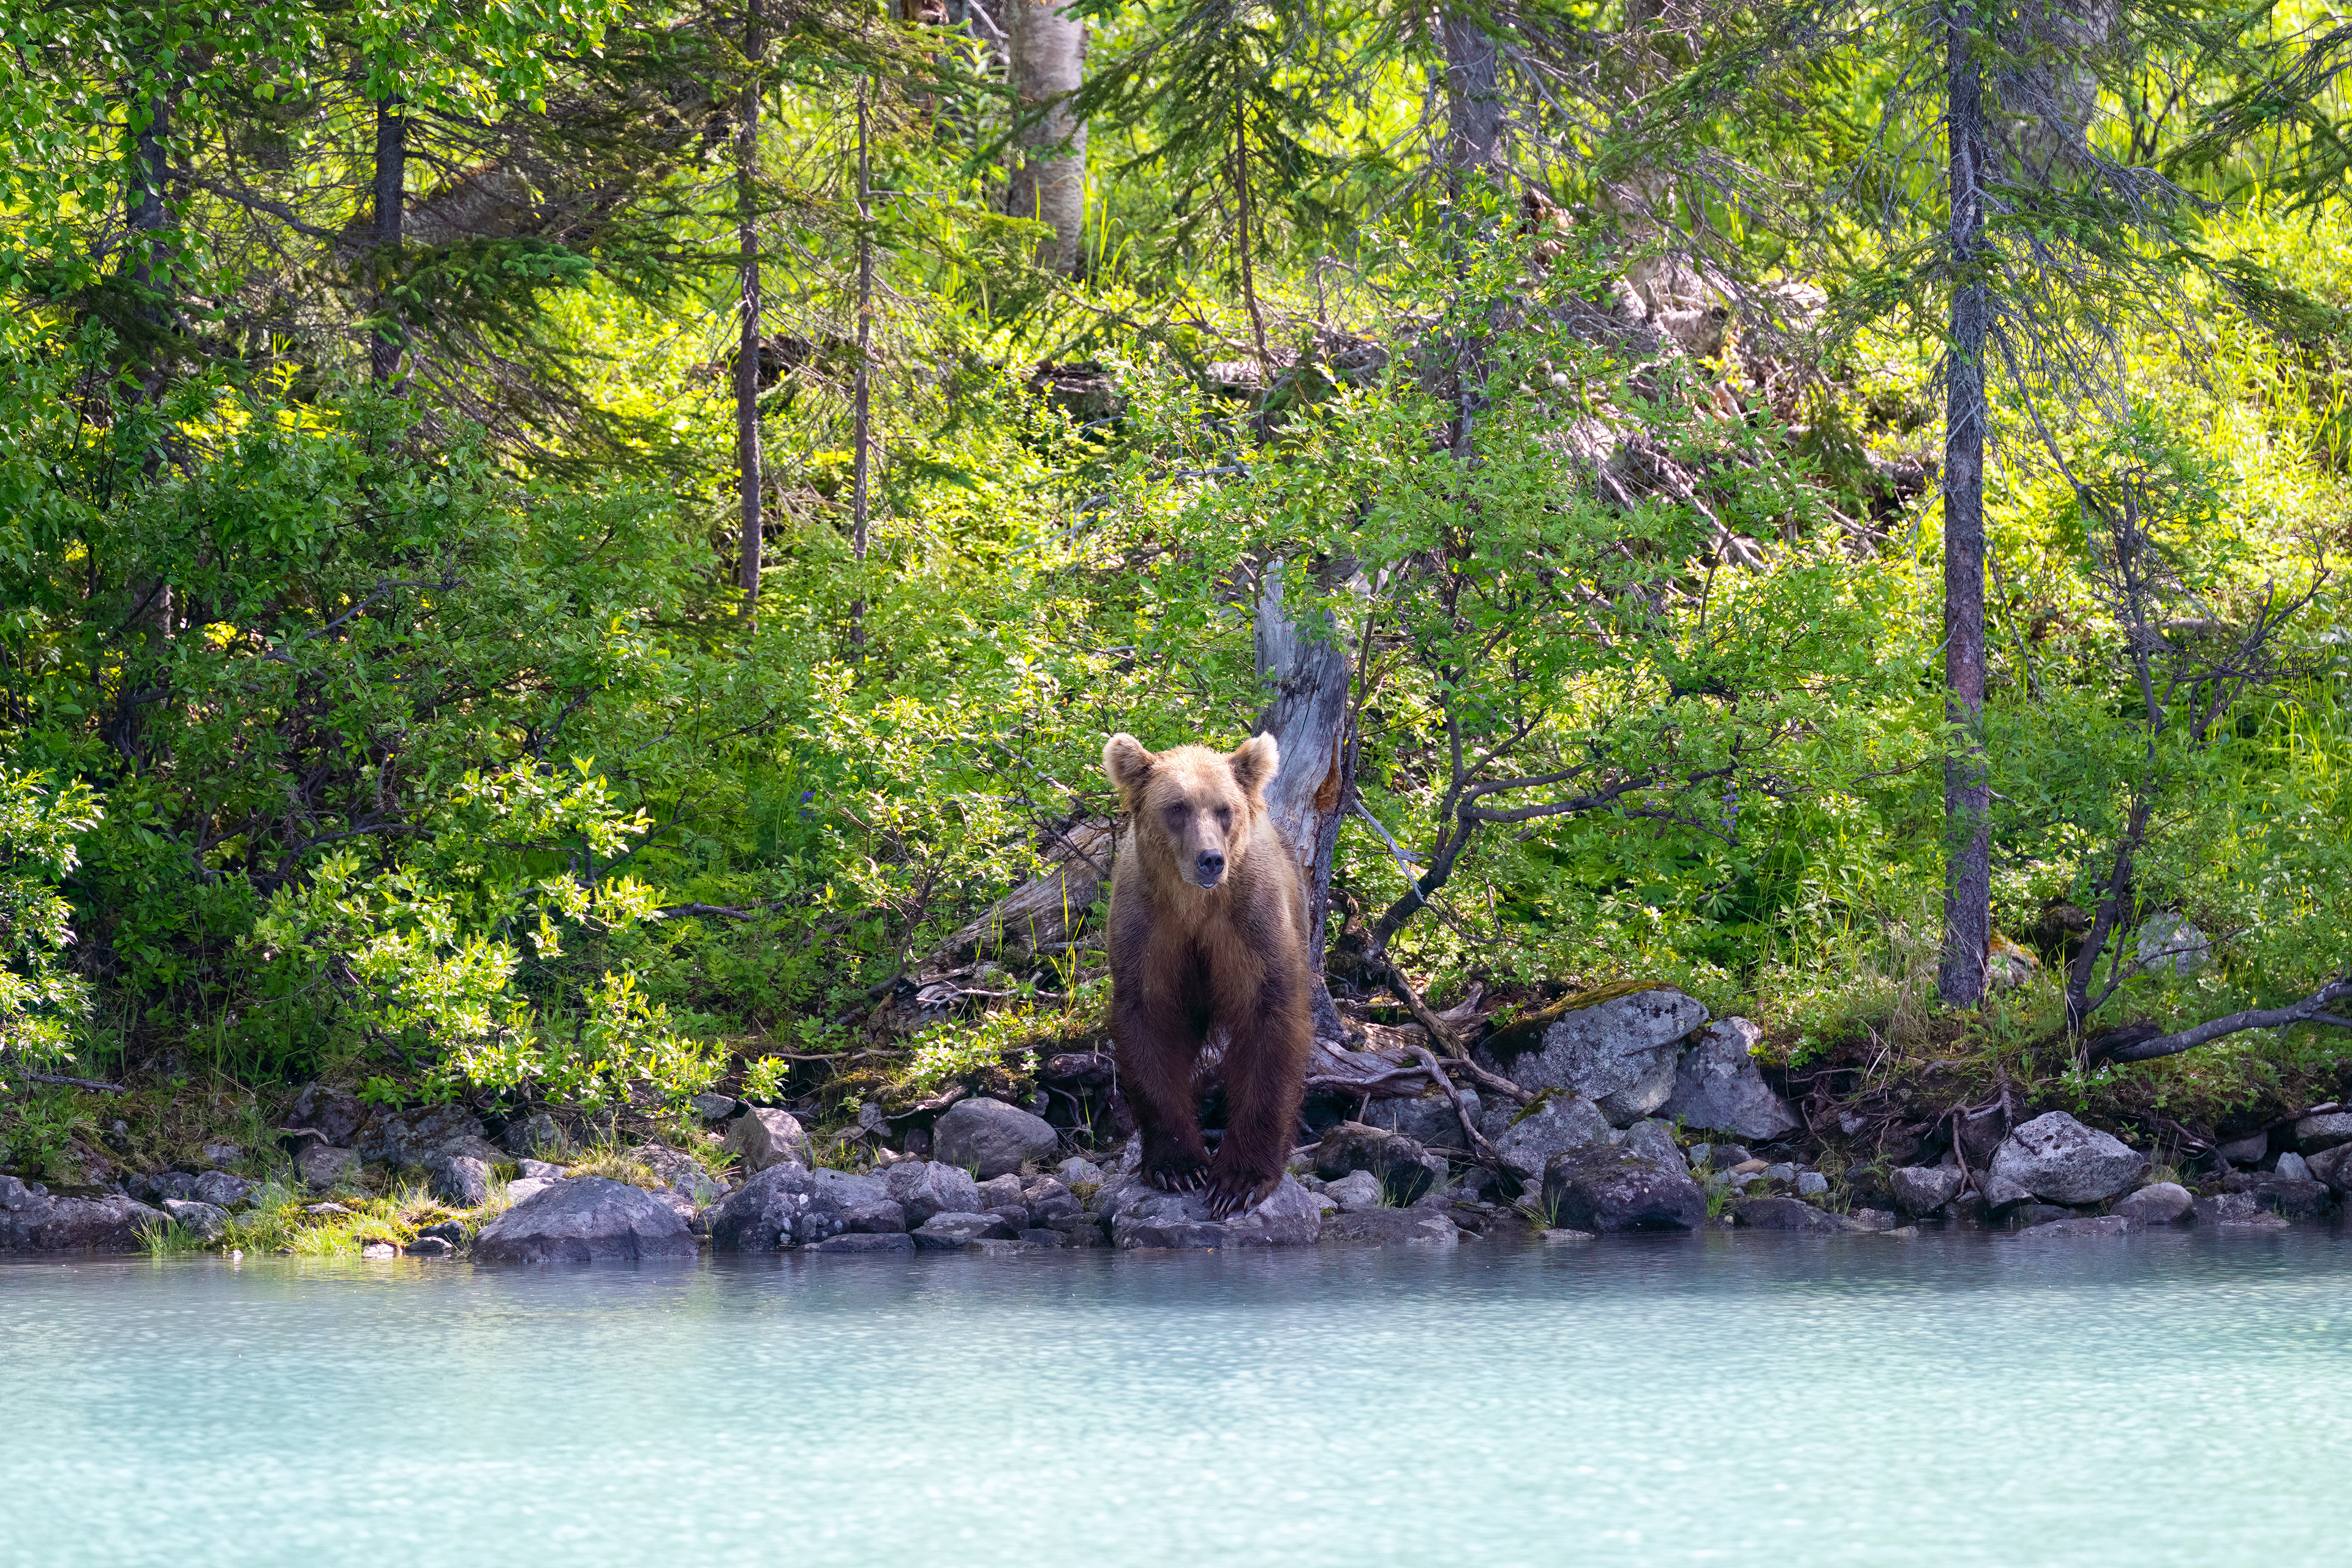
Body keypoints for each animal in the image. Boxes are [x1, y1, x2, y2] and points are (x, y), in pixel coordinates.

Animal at [1100, 730, 1313, 1217]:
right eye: (1177, 807)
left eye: (1224, 809)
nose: (1210, 859)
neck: (1194, 904)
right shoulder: (1148, 928)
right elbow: (1150, 1020)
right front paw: (1178, 1166)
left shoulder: (1251, 923)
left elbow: (1268, 1018)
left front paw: (1238, 1179)